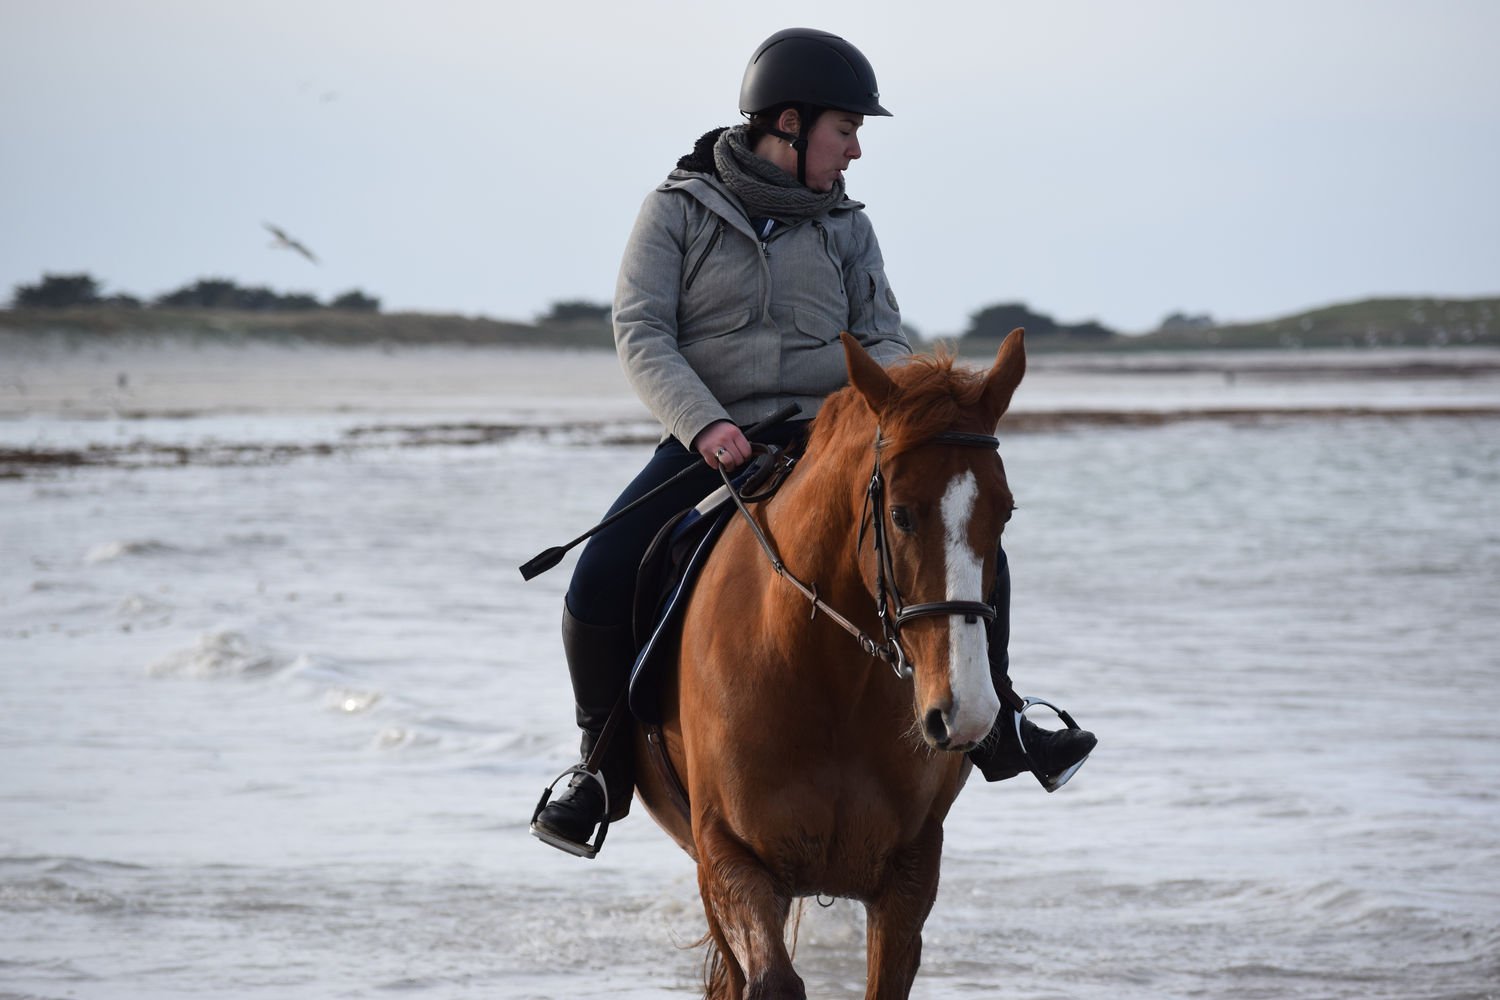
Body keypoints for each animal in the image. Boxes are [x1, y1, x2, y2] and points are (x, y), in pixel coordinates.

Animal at [633, 329, 1032, 1000]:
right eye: (900, 514)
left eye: (1003, 513)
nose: (967, 713)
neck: (827, 682)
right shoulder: (728, 857)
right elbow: (770, 979)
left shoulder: (909, 872)